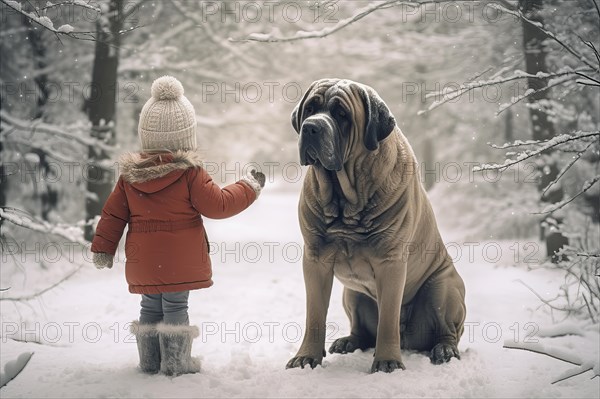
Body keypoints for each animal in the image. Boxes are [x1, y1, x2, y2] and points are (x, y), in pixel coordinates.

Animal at [288, 79, 468, 376]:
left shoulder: (391, 263)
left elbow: (388, 320)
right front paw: (306, 357)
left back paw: (444, 349)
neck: (345, 198)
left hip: (442, 288)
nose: (311, 127)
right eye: (310, 109)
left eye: (341, 114)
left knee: (447, 330)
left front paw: (387, 362)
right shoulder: (315, 260)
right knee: (361, 329)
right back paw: (348, 341)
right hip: (353, 295)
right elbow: (314, 314)